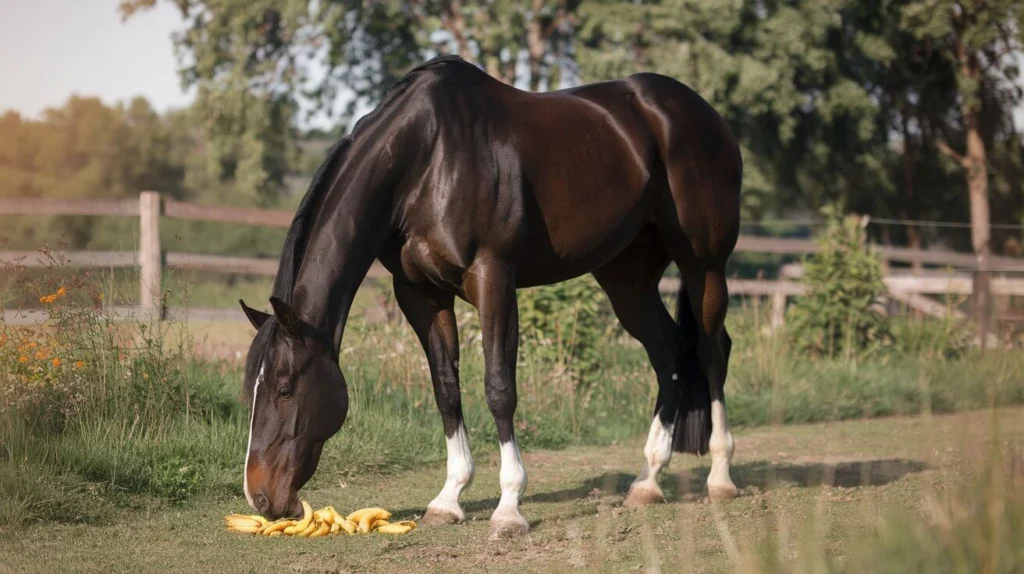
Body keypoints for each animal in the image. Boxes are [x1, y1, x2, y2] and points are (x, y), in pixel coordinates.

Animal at [236, 53, 741, 536]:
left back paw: (720, 477)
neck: (427, 160)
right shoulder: (420, 293)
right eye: (251, 390)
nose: (260, 497)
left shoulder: (492, 278)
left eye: (284, 389)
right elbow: (445, 388)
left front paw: (509, 508)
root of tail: (704, 114)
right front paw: (448, 500)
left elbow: (499, 388)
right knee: (669, 354)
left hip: (704, 266)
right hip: (626, 277)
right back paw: (648, 481)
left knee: (712, 352)